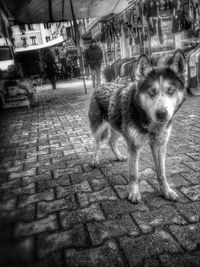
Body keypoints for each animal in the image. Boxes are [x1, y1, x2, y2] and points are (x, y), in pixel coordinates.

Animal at [88, 49, 188, 203]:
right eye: (151, 91)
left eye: (171, 90)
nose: (161, 114)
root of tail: (101, 85)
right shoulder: (134, 147)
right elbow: (134, 174)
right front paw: (134, 193)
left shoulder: (159, 146)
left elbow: (161, 172)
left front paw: (166, 191)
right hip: (100, 129)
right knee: (96, 144)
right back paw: (95, 160)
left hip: (117, 128)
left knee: (111, 142)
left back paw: (118, 156)